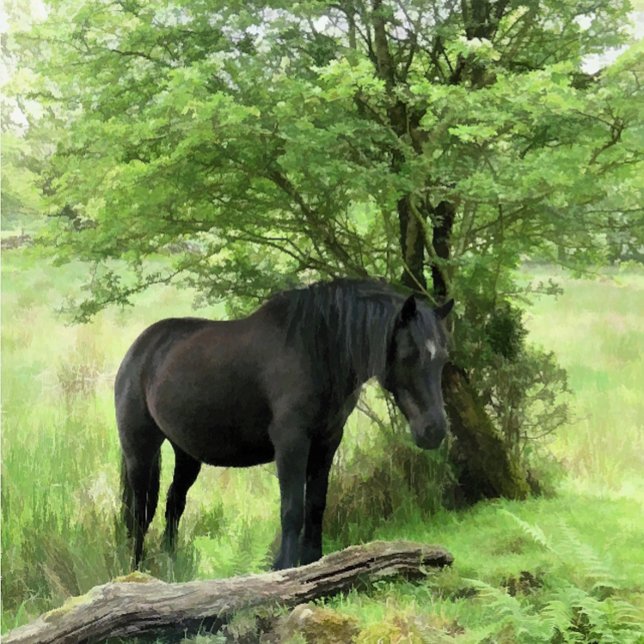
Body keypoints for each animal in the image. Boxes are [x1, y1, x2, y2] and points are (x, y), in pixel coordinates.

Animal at [116, 278, 454, 570]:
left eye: (443, 358)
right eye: (409, 354)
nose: (434, 430)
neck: (317, 350)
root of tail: (138, 349)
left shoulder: (327, 441)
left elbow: (316, 504)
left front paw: (313, 561)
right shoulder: (292, 442)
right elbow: (292, 509)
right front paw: (284, 567)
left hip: (186, 453)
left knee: (173, 505)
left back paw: (172, 567)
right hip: (140, 451)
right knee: (139, 514)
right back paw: (136, 571)